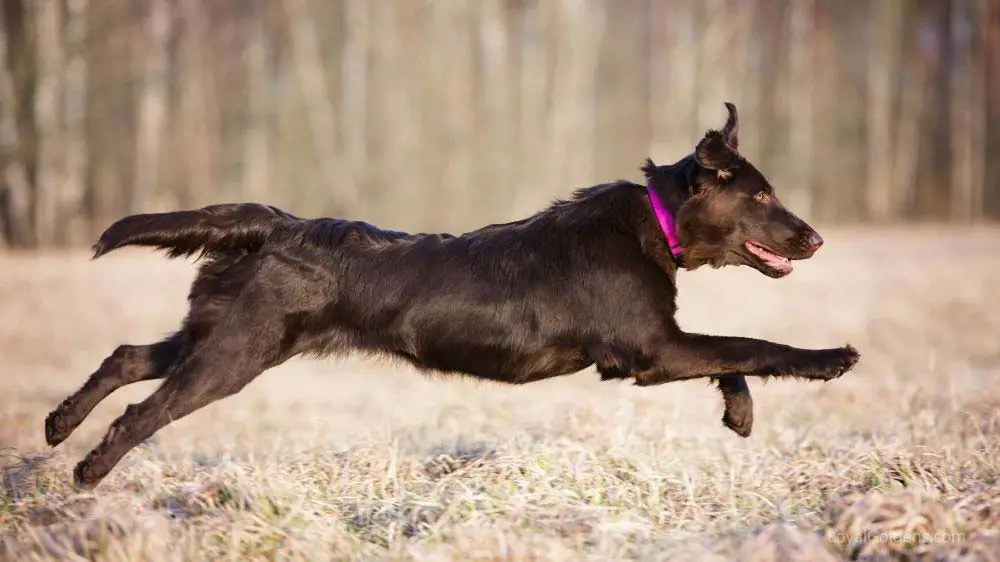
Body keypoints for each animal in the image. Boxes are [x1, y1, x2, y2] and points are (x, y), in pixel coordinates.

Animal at [45, 103, 860, 488]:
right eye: (763, 195)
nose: (819, 239)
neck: (652, 223)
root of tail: (278, 224)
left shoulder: (658, 350)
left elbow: (733, 356)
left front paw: (739, 413)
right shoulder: (650, 349)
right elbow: (751, 344)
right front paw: (829, 360)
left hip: (220, 332)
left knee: (126, 356)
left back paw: (58, 425)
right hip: (238, 351)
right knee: (143, 411)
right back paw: (89, 470)